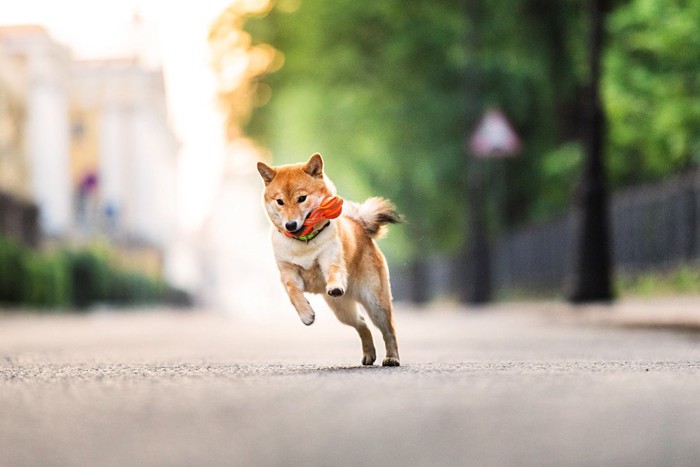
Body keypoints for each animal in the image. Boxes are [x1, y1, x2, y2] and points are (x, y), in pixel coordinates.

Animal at [256, 155, 400, 368]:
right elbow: (294, 293)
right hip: (342, 310)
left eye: (302, 198)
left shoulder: (329, 257)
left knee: (388, 330)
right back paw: (369, 354)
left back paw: (392, 357)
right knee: (361, 323)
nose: (290, 225)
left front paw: (334, 285)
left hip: (376, 303)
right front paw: (306, 314)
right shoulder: (288, 272)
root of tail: (358, 224)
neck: (304, 242)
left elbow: (334, 271)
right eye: (280, 201)